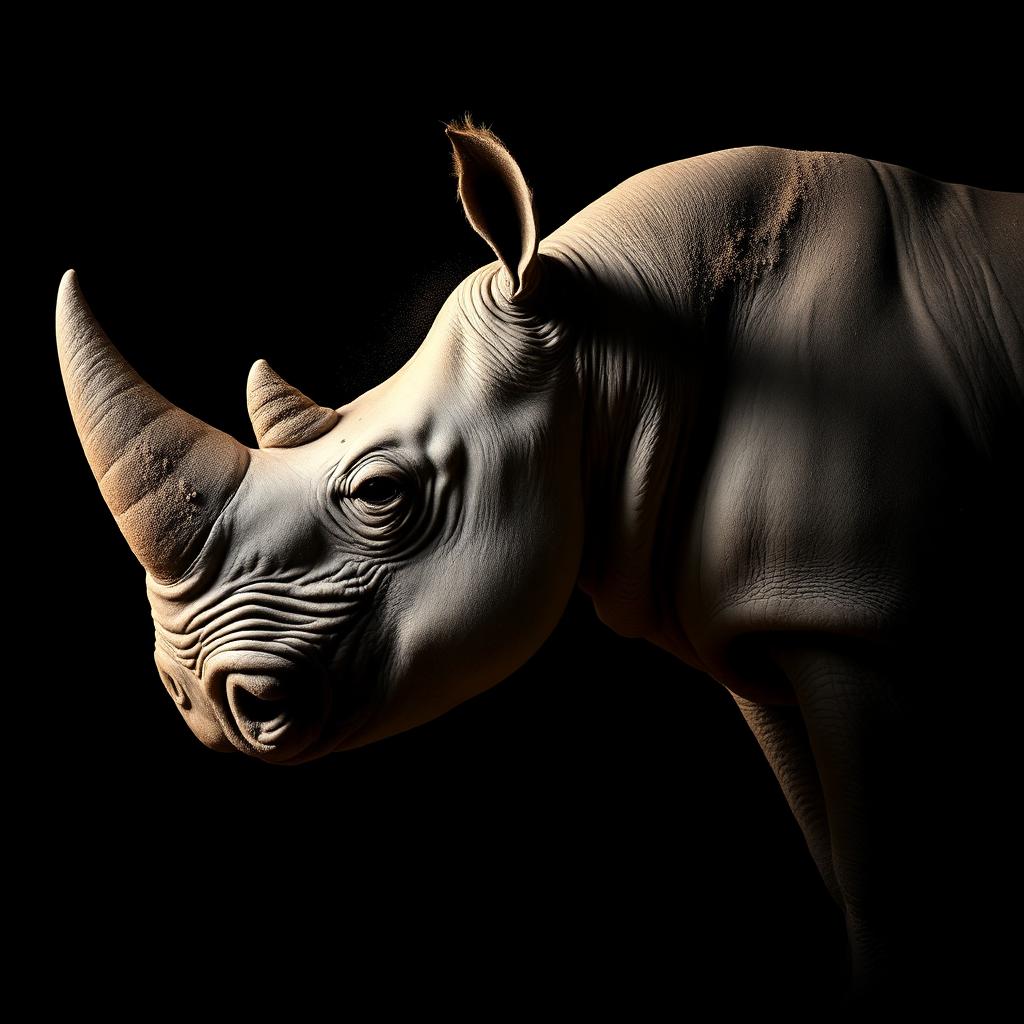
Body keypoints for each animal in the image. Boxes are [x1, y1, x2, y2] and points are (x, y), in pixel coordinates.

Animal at [56, 121, 1021, 997]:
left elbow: (886, 893)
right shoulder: (773, 613)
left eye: (379, 494)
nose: (195, 701)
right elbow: (843, 864)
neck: (616, 343)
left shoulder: (854, 620)